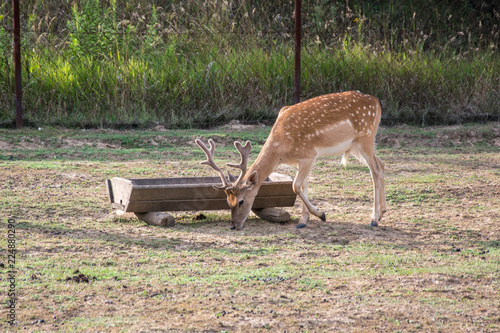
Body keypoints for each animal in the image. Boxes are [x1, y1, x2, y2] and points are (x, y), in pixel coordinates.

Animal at [195, 91, 386, 231]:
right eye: (228, 202)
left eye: (241, 201)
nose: (233, 226)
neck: (281, 151)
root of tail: (377, 102)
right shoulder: (301, 161)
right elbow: (303, 186)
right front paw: (303, 221)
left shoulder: (309, 155)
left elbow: (295, 186)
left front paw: (321, 214)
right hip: (355, 146)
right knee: (382, 164)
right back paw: (382, 212)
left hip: (366, 137)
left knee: (375, 170)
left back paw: (374, 219)